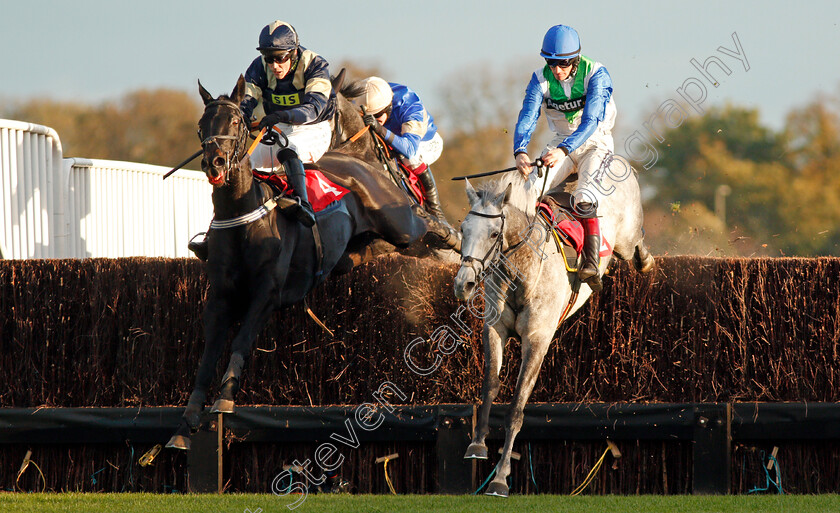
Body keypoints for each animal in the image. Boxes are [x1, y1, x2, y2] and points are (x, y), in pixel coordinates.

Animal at [167, 76, 446, 448]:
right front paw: (185, 424)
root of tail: (357, 159)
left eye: (237, 122)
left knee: (429, 226)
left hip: (401, 221)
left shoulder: (266, 295)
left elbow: (240, 342)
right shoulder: (220, 297)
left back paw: (455, 238)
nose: (216, 163)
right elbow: (207, 356)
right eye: (201, 125)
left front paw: (224, 399)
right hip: (363, 247)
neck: (242, 213)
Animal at [452, 161, 656, 496]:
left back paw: (646, 259)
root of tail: (621, 162)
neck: (522, 271)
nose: (463, 284)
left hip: (625, 240)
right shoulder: (494, 330)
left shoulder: (537, 340)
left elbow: (517, 407)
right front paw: (477, 445)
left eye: (494, 233)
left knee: (635, 244)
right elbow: (490, 385)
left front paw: (500, 478)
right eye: (463, 230)